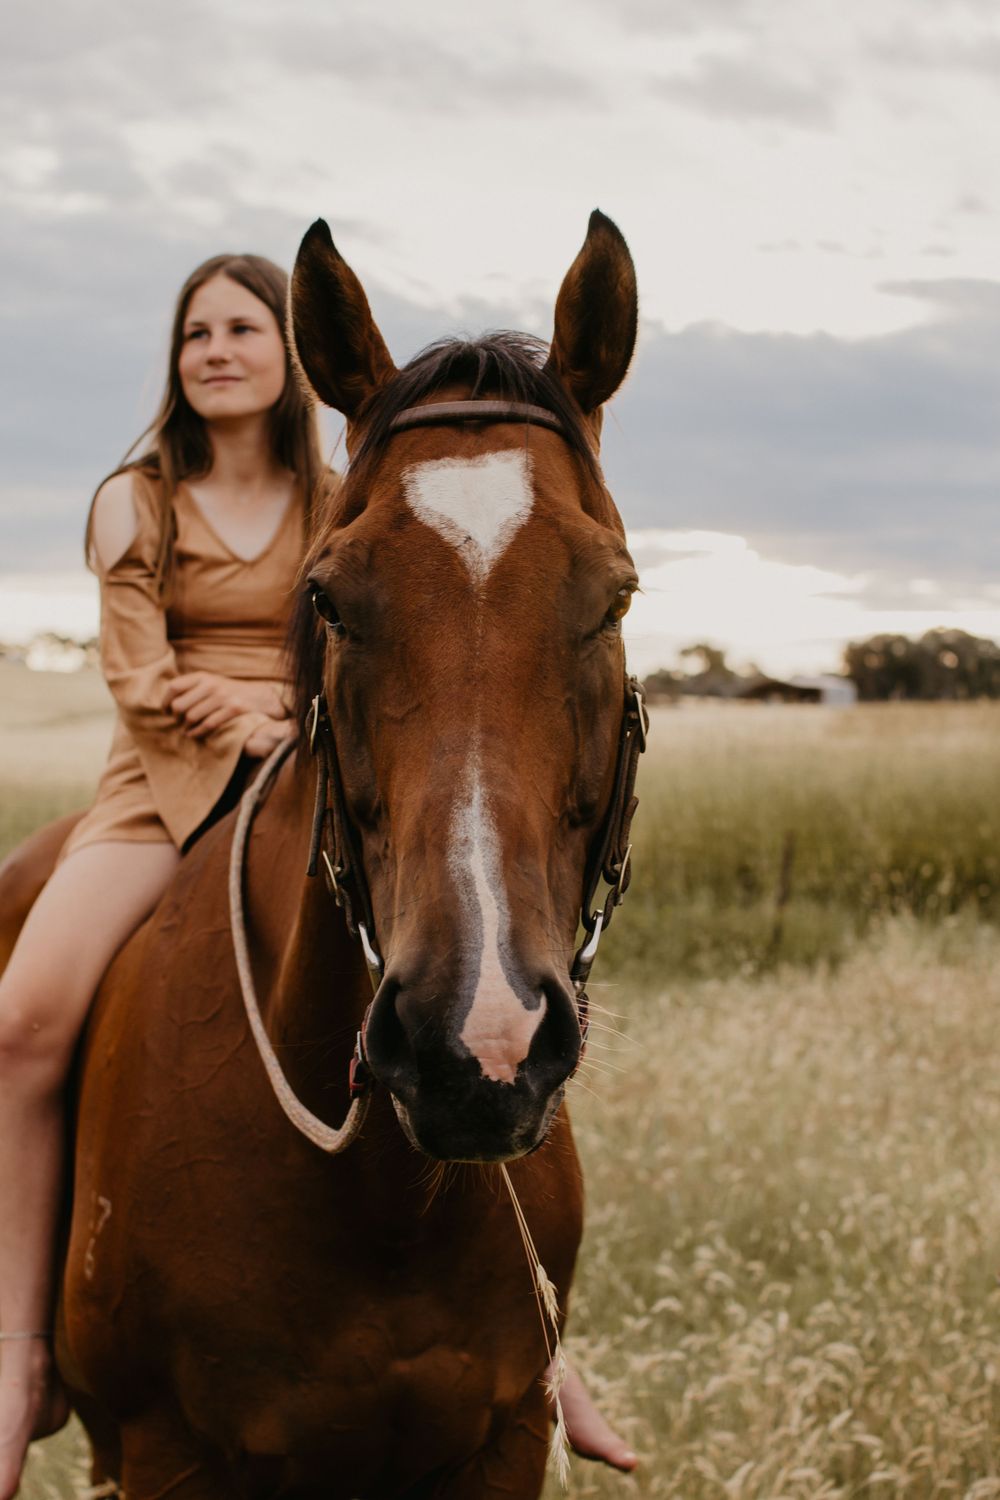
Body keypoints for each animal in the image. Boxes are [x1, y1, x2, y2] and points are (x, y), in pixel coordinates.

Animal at [1, 210, 643, 1499]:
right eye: (332, 598)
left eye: (612, 598)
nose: (477, 1044)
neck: (381, 1206)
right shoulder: (168, 1453)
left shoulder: (499, 1445)